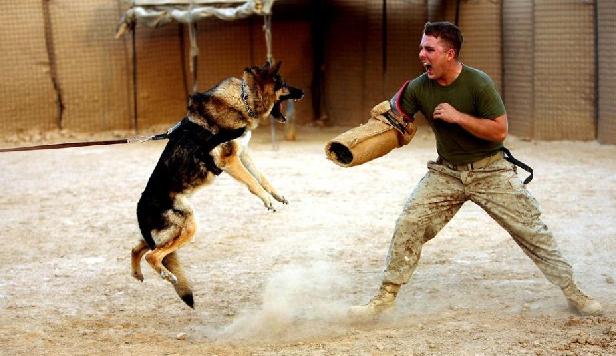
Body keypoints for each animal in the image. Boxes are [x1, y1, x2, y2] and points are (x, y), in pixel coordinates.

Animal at [131, 61, 304, 306]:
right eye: (283, 84)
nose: (302, 92)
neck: (243, 98)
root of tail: (140, 208)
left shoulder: (243, 153)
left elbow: (261, 176)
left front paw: (276, 195)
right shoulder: (230, 160)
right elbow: (252, 182)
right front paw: (267, 200)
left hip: (169, 233)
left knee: (136, 248)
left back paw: (137, 273)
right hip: (187, 228)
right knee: (152, 256)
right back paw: (167, 275)